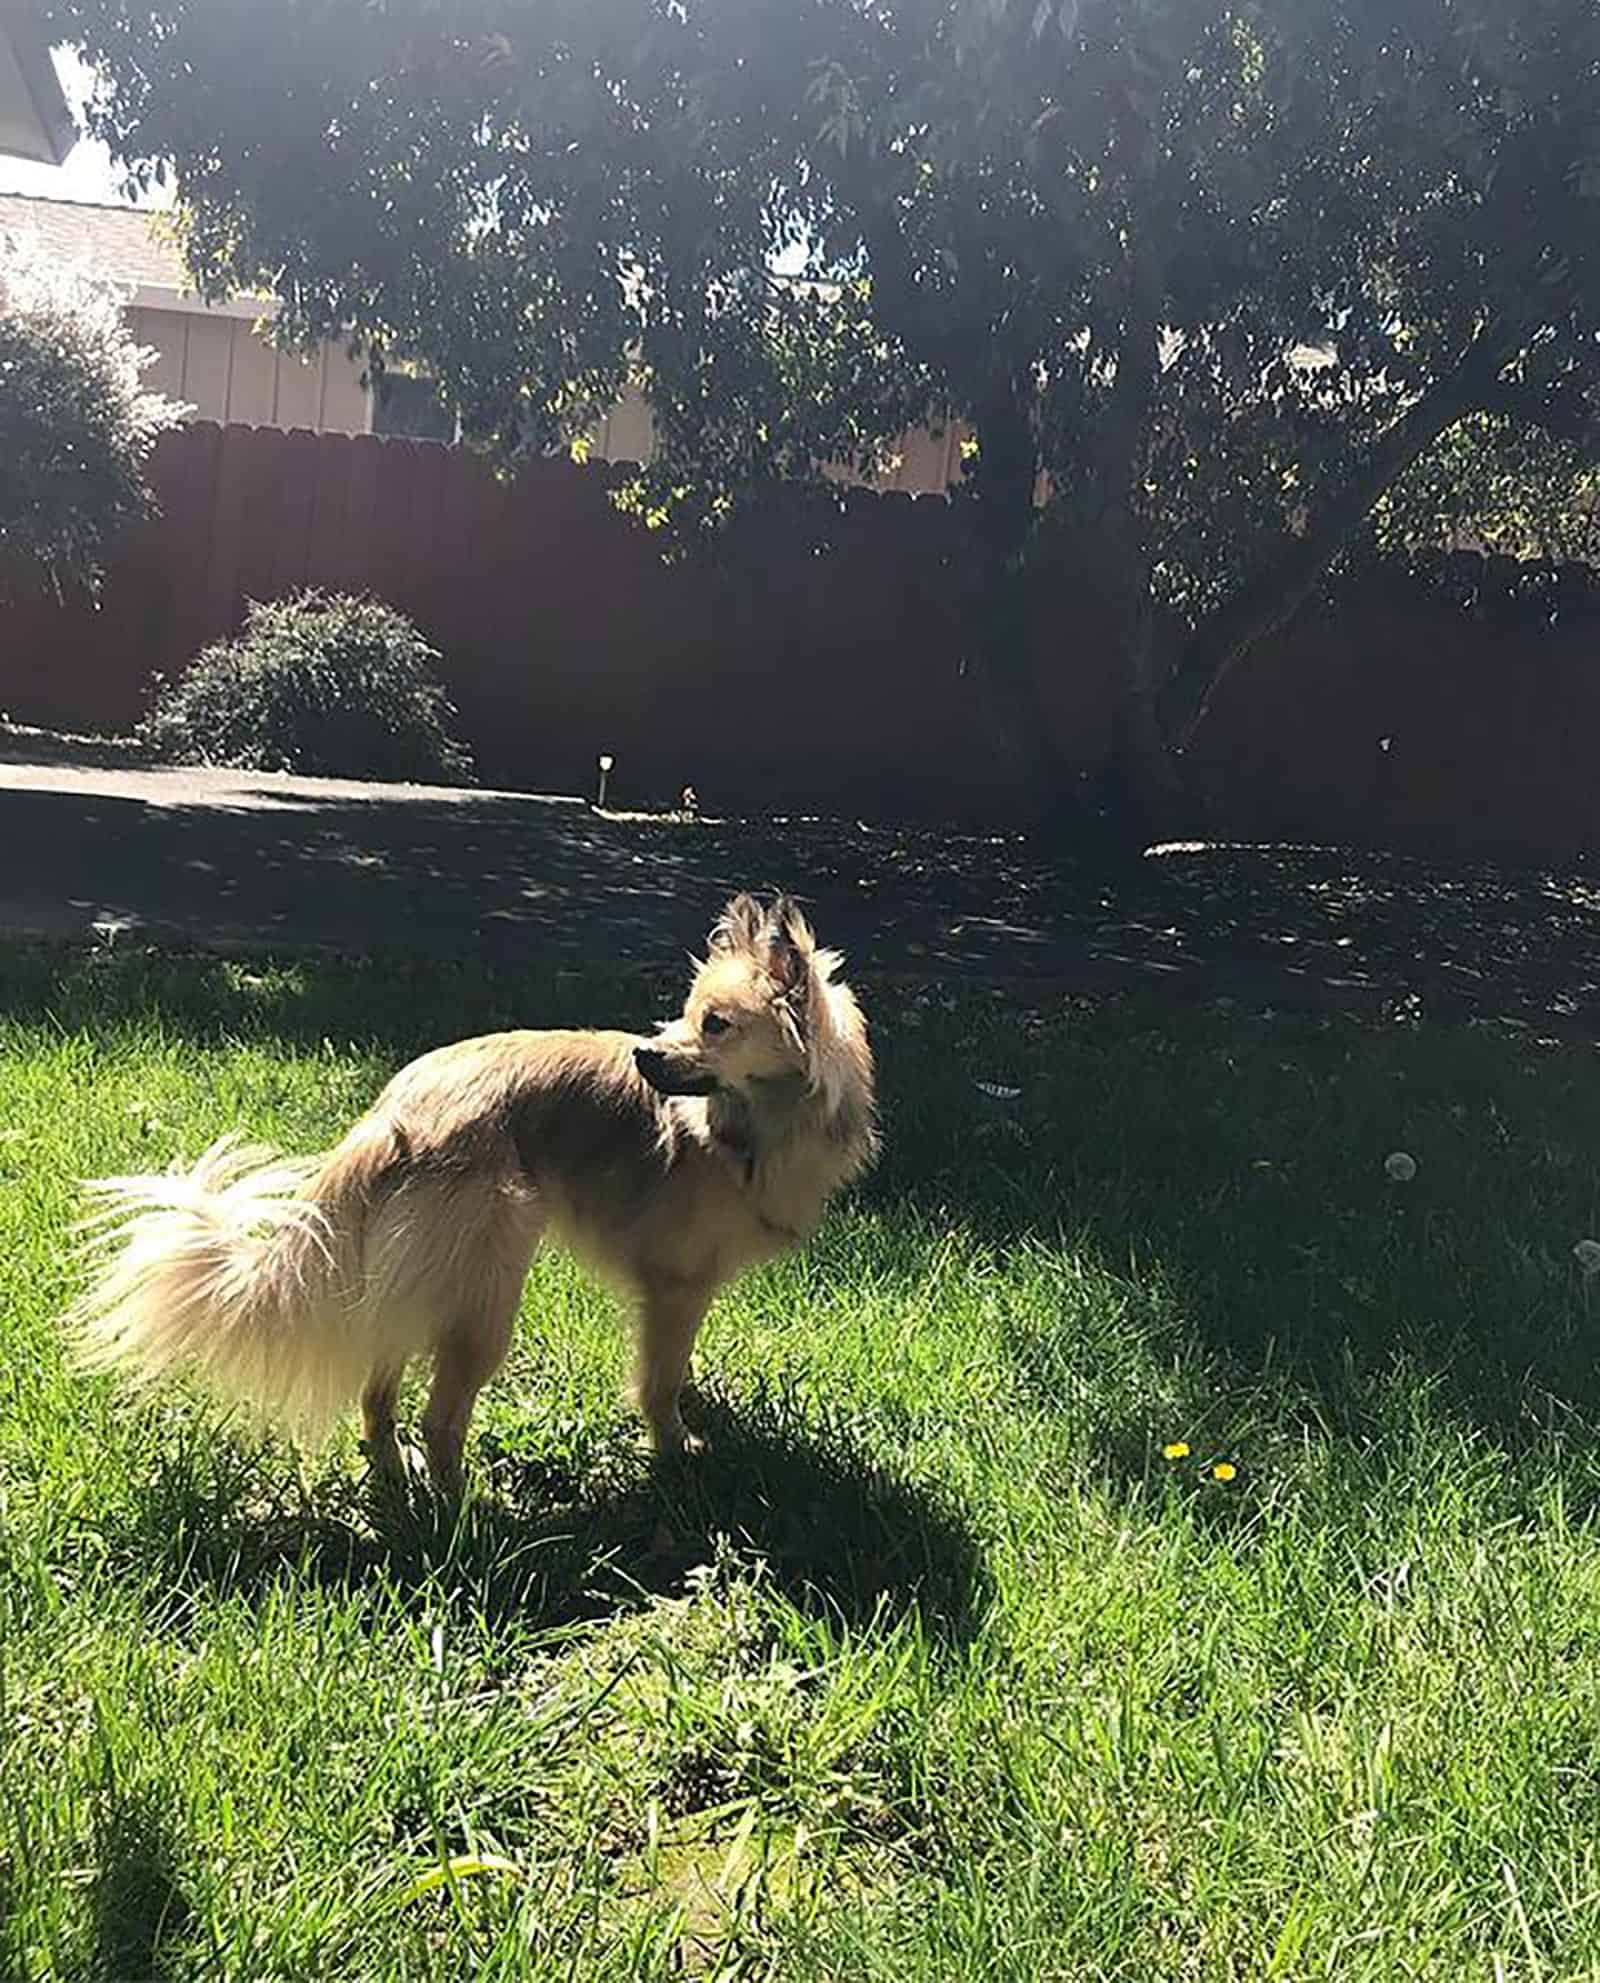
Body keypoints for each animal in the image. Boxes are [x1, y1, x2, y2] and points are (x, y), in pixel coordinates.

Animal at [65, 896, 876, 1491]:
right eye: (688, 1015)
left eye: (715, 1023)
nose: (644, 1056)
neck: (757, 1123)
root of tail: (394, 1112)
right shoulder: (675, 1287)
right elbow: (658, 1377)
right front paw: (676, 1443)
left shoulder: (677, 1295)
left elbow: (675, 1366)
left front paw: (697, 1404)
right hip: (484, 1294)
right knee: (442, 1418)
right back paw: (458, 1510)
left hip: (407, 1278)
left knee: (378, 1389)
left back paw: (394, 1473)